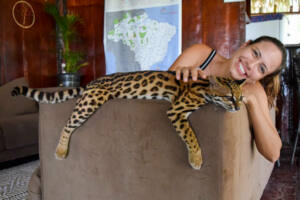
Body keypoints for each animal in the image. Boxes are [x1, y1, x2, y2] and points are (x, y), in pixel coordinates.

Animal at [12, 71, 245, 170]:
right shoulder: (176, 110)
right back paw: (61, 150)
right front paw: (196, 159)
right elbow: (191, 136)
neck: (204, 86)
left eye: (241, 97)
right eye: (229, 97)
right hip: (91, 102)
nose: (239, 108)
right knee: (67, 124)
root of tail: (93, 81)